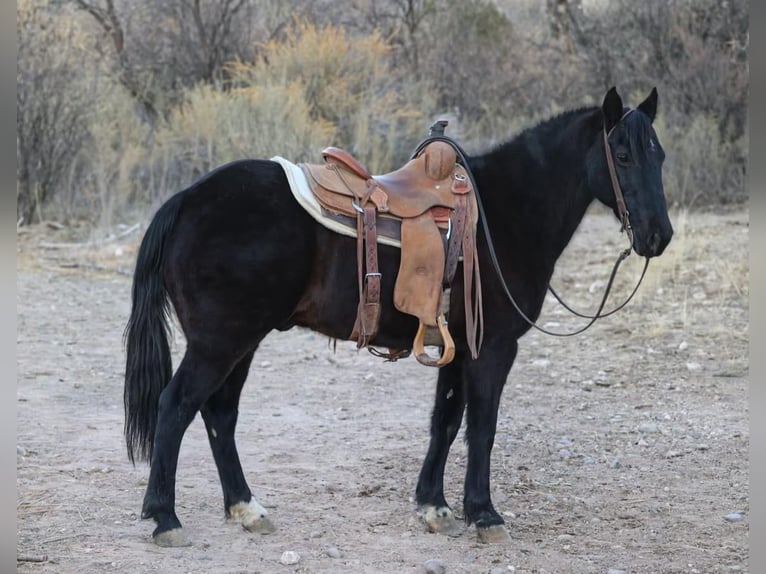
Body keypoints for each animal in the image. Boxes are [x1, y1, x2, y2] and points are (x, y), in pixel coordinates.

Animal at [124, 86, 672, 548]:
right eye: (623, 155)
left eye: (659, 155)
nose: (658, 235)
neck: (503, 214)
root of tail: (185, 202)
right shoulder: (493, 346)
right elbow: (483, 426)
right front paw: (484, 513)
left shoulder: (458, 347)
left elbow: (445, 422)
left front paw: (435, 506)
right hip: (221, 342)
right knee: (176, 406)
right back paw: (165, 517)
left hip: (242, 341)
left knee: (219, 414)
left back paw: (246, 508)